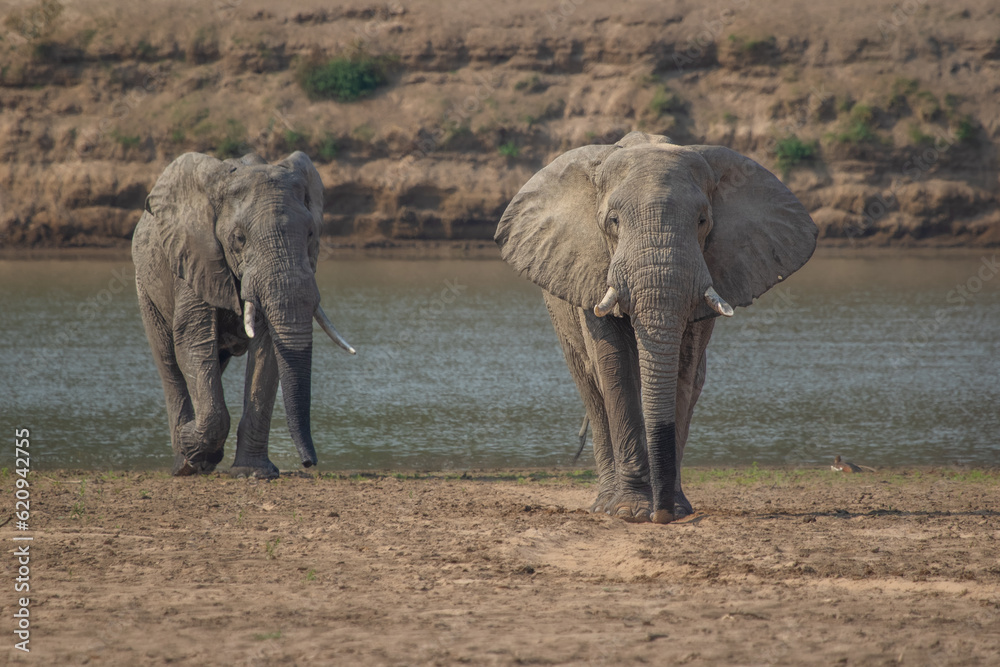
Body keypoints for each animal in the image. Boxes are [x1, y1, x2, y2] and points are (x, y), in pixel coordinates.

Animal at [132, 151, 355, 479]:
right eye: (239, 238)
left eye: (311, 234)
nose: (308, 462)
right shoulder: (195, 258)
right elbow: (193, 343)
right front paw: (191, 444)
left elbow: (268, 351)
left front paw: (253, 473)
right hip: (145, 283)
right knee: (168, 360)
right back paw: (184, 463)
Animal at [495, 132, 817, 524]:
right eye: (613, 221)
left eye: (702, 220)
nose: (659, 516)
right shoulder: (590, 270)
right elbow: (614, 367)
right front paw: (631, 512)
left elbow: (684, 368)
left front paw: (674, 510)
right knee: (591, 388)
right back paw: (605, 504)